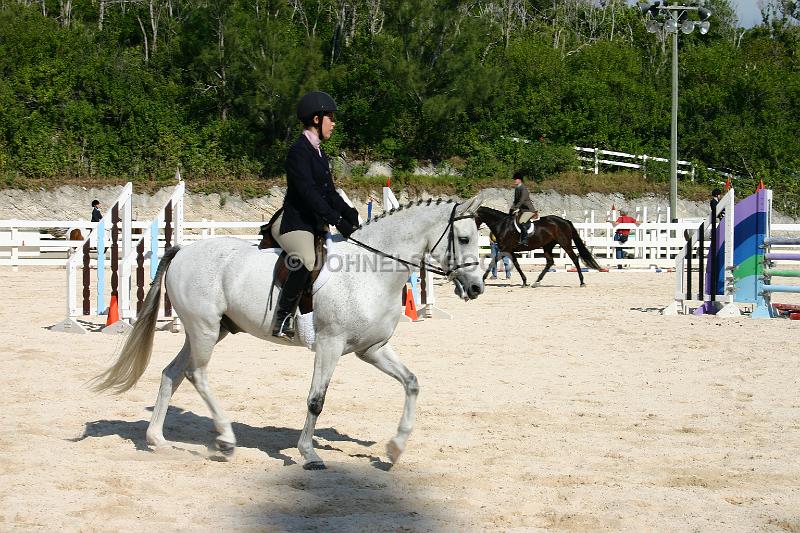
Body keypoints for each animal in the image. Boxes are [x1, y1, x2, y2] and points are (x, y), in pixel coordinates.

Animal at [93, 194, 482, 466]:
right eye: (463, 239)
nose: (477, 288)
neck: (370, 270)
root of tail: (183, 252)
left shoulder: (371, 349)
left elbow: (412, 383)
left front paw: (396, 448)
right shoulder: (329, 345)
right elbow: (316, 400)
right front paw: (309, 454)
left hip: (207, 330)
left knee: (172, 373)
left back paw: (157, 440)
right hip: (204, 330)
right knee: (196, 375)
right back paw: (226, 439)